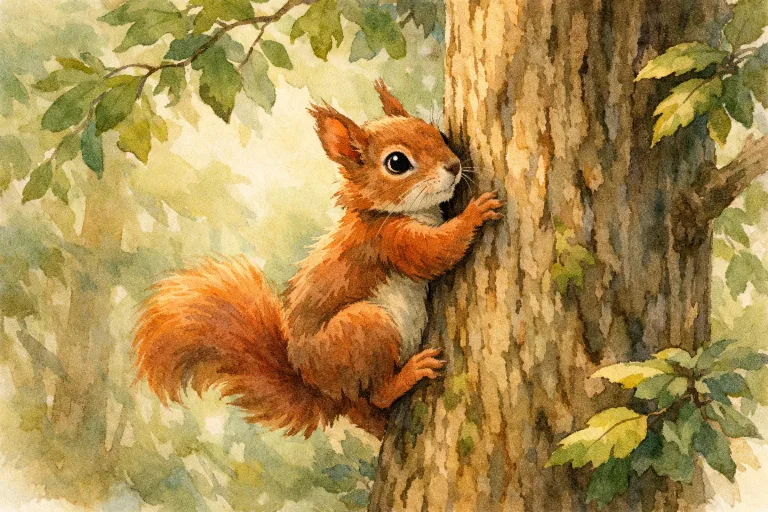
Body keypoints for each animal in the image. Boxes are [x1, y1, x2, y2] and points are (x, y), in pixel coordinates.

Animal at [133, 80, 503, 439]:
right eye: (397, 163)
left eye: (438, 134)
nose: (454, 166)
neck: (380, 211)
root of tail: (327, 394)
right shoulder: (385, 242)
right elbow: (435, 252)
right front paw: (474, 213)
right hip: (362, 331)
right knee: (376, 394)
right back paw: (409, 374)